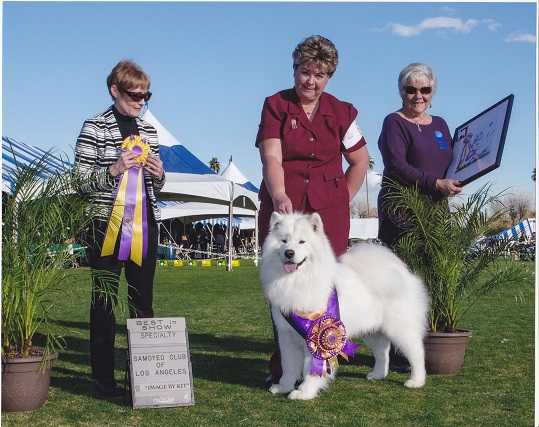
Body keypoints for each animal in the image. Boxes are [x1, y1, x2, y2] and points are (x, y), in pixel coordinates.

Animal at [262, 213, 430, 402]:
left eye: (302, 242)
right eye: (283, 241)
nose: (289, 252)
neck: (298, 279)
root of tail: (403, 273)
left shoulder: (314, 334)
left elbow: (312, 368)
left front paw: (305, 392)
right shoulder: (287, 336)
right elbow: (289, 366)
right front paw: (283, 386)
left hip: (400, 329)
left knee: (417, 353)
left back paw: (416, 381)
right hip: (372, 332)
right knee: (383, 353)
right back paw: (377, 375)